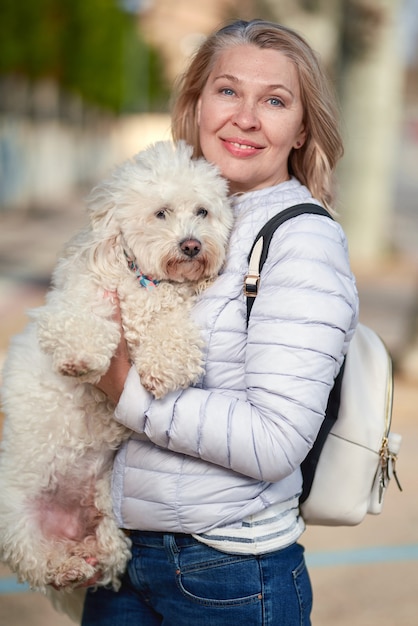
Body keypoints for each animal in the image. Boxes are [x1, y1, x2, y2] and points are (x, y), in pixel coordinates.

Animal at [0, 140, 232, 600]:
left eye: (202, 211)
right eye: (161, 213)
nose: (192, 245)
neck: (146, 283)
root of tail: (70, 531)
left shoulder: (171, 315)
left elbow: (173, 334)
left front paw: (165, 366)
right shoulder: (76, 303)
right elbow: (81, 322)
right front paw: (80, 358)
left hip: (108, 505)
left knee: (106, 554)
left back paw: (84, 560)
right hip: (15, 515)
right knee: (36, 560)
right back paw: (64, 567)